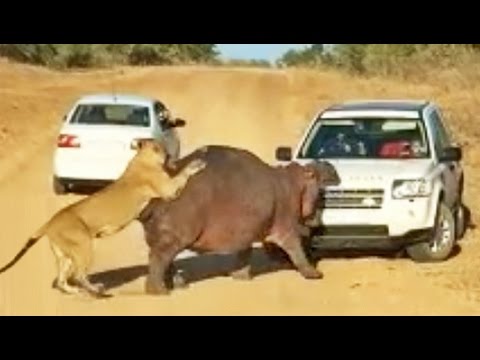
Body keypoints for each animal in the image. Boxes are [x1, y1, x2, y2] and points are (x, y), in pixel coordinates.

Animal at [0, 138, 204, 298]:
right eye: (160, 148)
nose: (169, 155)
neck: (141, 157)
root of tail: (51, 221)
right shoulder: (168, 190)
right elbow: (183, 173)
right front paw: (197, 163)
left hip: (64, 253)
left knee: (62, 280)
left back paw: (79, 291)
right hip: (83, 244)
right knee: (78, 275)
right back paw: (97, 291)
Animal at [138, 145, 342, 294]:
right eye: (315, 174)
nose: (330, 163)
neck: (296, 182)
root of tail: (153, 198)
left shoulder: (248, 230)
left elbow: (245, 254)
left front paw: (240, 277)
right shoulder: (286, 227)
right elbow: (296, 249)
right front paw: (315, 274)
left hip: (170, 238)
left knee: (167, 262)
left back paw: (179, 285)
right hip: (174, 237)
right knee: (158, 259)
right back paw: (159, 291)